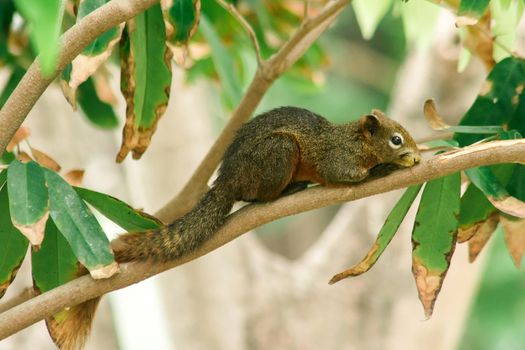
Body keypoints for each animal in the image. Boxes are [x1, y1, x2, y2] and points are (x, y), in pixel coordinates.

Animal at [55, 107, 420, 350]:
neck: (356, 140)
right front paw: (387, 167)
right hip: (278, 153)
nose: (415, 154)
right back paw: (287, 191)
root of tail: (226, 181)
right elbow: (344, 174)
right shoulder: (337, 158)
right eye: (396, 139)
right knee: (254, 195)